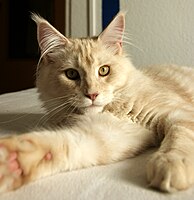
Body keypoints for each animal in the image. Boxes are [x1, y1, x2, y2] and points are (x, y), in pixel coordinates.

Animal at [0, 11, 194, 194]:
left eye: (104, 70)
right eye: (71, 74)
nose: (92, 94)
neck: (117, 110)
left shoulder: (178, 114)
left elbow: (179, 137)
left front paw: (172, 163)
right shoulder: (107, 133)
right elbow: (60, 145)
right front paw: (12, 161)